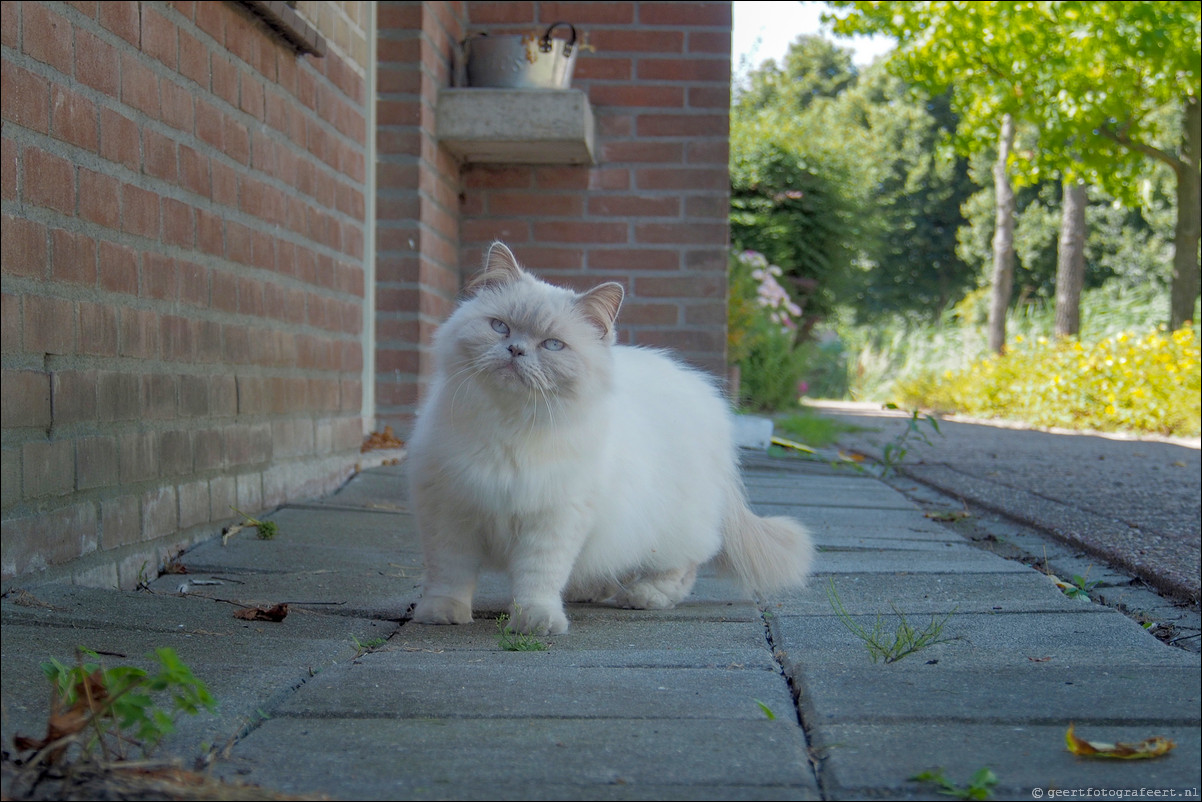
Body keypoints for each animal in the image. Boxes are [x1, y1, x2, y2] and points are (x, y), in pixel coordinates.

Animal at [406, 240, 817, 634]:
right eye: (500, 327)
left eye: (552, 345)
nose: (515, 349)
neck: (509, 424)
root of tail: (706, 394)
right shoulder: (450, 511)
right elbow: (450, 575)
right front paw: (442, 614)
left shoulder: (554, 518)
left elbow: (538, 579)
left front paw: (536, 622)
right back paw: (587, 592)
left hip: (672, 526)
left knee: (684, 566)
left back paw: (645, 596)